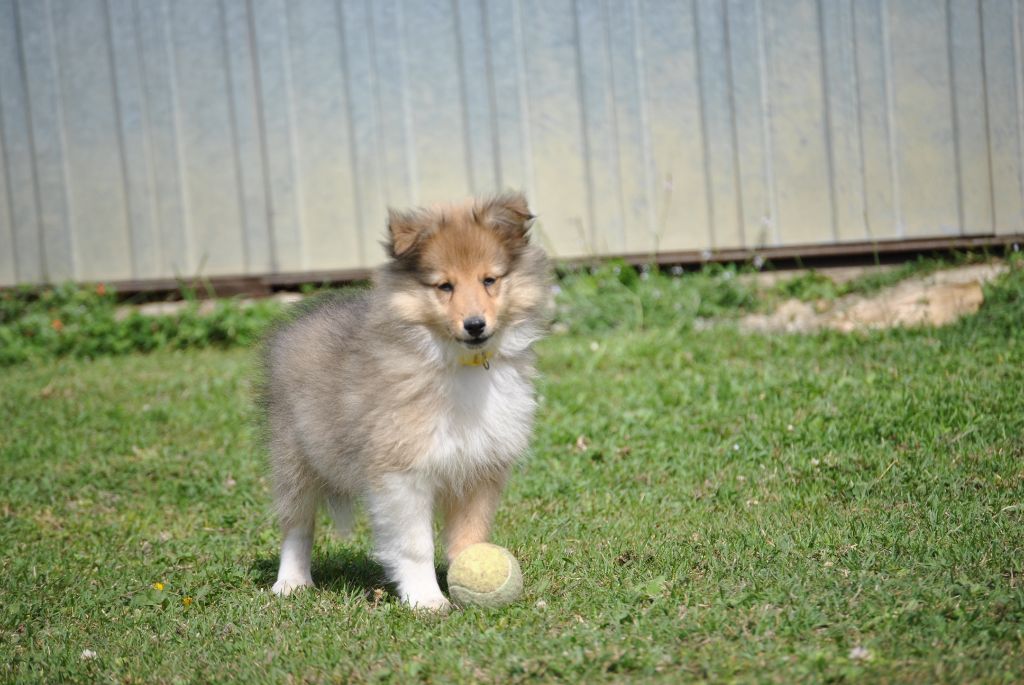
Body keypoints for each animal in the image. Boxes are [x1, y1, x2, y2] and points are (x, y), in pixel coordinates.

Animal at [264, 191, 552, 610]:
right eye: (444, 286)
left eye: (489, 280)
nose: (475, 325)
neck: (458, 365)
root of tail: (300, 319)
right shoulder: (402, 472)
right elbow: (415, 545)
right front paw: (426, 599)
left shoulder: (481, 468)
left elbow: (470, 537)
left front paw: (470, 576)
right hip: (294, 457)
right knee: (296, 526)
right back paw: (291, 582)